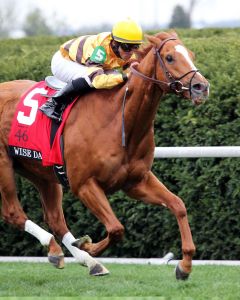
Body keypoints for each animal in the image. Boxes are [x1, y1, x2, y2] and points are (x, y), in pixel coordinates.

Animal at [0, 32, 208, 278]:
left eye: (191, 55)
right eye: (169, 57)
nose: (201, 87)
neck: (120, 119)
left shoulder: (136, 181)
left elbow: (178, 205)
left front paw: (184, 265)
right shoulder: (85, 185)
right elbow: (116, 228)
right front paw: (88, 245)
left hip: (42, 171)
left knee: (55, 219)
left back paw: (82, 259)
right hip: (4, 164)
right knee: (13, 212)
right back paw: (59, 248)